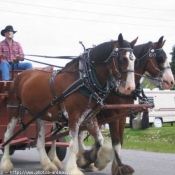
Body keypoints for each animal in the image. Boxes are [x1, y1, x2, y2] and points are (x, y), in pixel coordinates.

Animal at [0, 33, 138, 174]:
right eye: (122, 58)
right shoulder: (74, 117)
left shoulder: (89, 117)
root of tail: (19, 76)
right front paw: (74, 168)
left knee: (40, 141)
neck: (84, 79)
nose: (130, 88)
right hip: (14, 109)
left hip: (40, 114)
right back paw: (6, 163)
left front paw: (89, 160)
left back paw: (47, 164)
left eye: (135, 60)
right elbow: (73, 145)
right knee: (7, 136)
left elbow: (99, 139)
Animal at [77, 36, 174, 174]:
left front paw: (116, 165)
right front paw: (119, 167)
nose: (171, 81)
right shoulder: (112, 116)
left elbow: (120, 141)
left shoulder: (122, 116)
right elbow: (116, 141)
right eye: (160, 57)